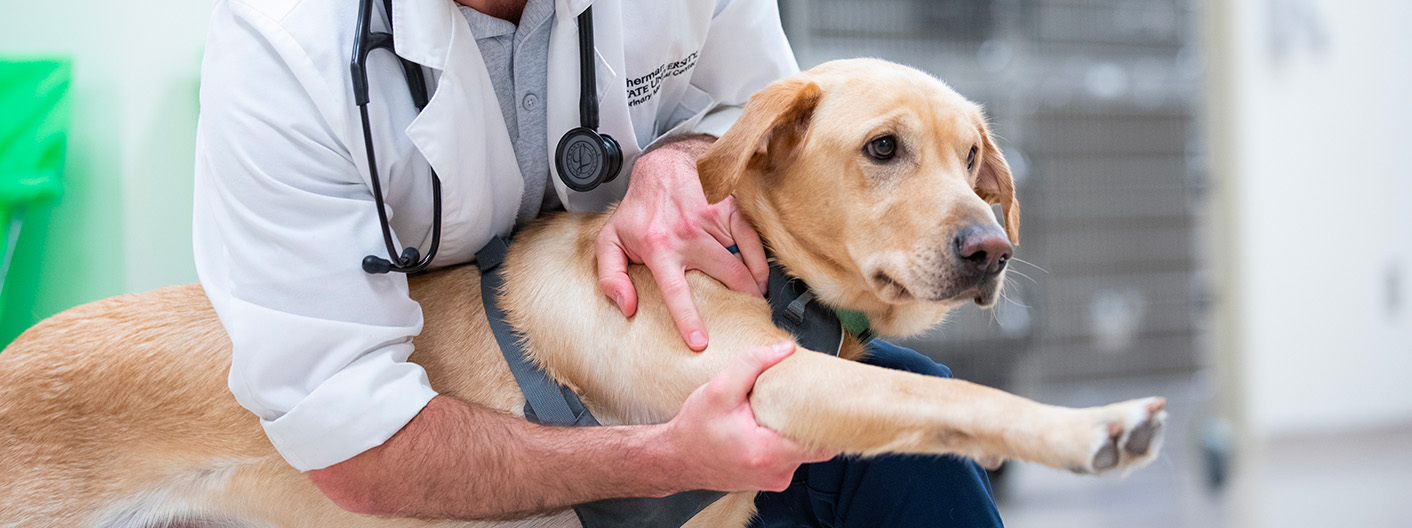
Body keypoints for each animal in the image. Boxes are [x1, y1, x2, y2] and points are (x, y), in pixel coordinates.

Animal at [0, 59, 1169, 525]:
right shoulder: (769, 394)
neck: (766, 268)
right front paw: (1089, 427)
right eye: (883, 149)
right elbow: (947, 395)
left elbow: (928, 411)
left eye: (973, 158)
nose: (989, 251)